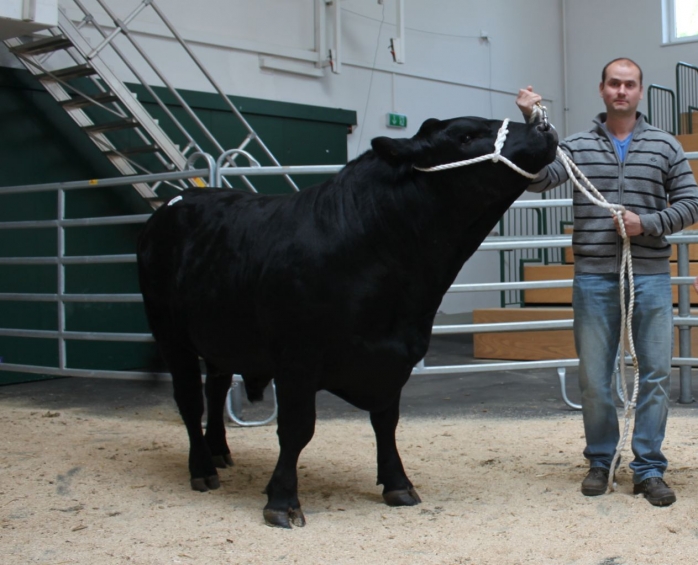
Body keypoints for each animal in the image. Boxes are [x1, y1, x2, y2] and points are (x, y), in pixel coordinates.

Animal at [139, 115, 556, 528]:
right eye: (466, 136)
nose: (543, 126)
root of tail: (182, 199)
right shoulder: (298, 359)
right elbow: (297, 429)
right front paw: (282, 500)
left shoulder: (396, 358)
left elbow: (386, 422)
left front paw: (398, 484)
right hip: (169, 333)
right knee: (190, 400)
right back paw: (202, 468)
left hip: (220, 337)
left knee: (216, 387)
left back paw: (220, 451)